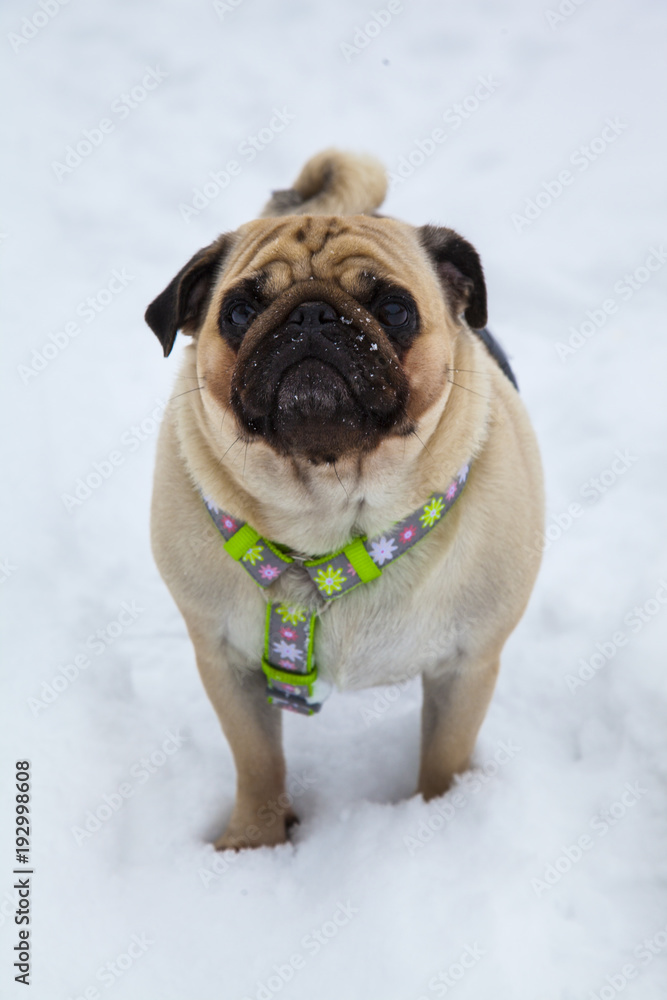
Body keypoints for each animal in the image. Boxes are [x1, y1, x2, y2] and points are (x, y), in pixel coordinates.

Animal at [145, 149, 544, 849]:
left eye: (395, 309)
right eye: (239, 313)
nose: (310, 316)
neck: (331, 517)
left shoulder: (466, 666)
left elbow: (444, 757)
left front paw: (438, 820)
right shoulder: (227, 663)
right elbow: (258, 761)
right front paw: (255, 841)